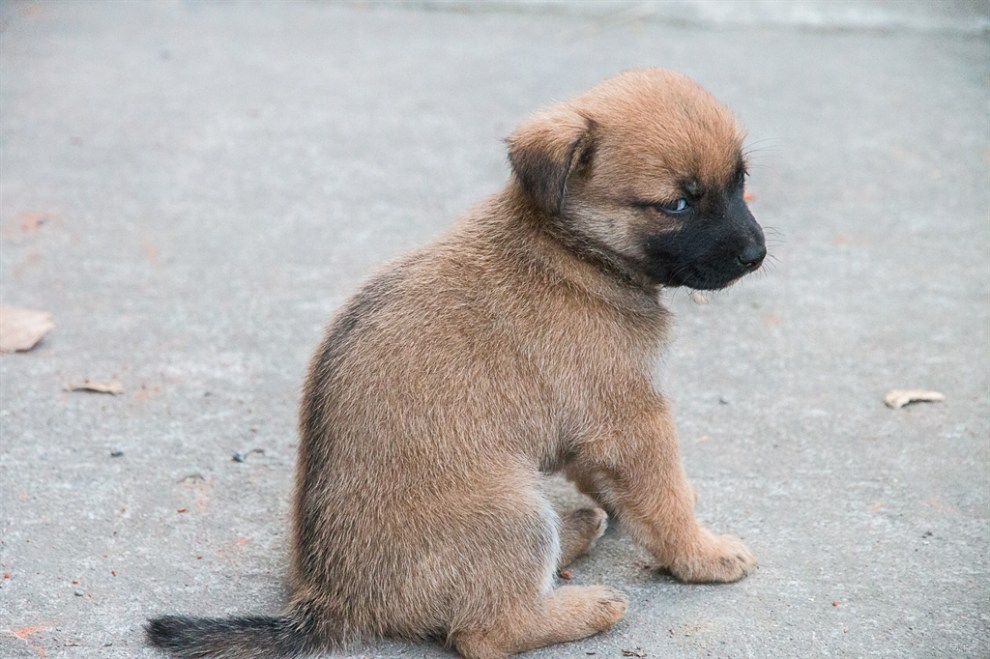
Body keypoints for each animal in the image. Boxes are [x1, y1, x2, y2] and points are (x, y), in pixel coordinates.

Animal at [147, 68, 768, 659]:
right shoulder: (631, 420)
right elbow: (663, 497)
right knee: (487, 632)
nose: (756, 255)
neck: (570, 248)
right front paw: (702, 553)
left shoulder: (596, 429)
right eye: (677, 204)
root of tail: (334, 598)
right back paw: (588, 606)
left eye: (740, 180)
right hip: (513, 514)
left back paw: (577, 528)